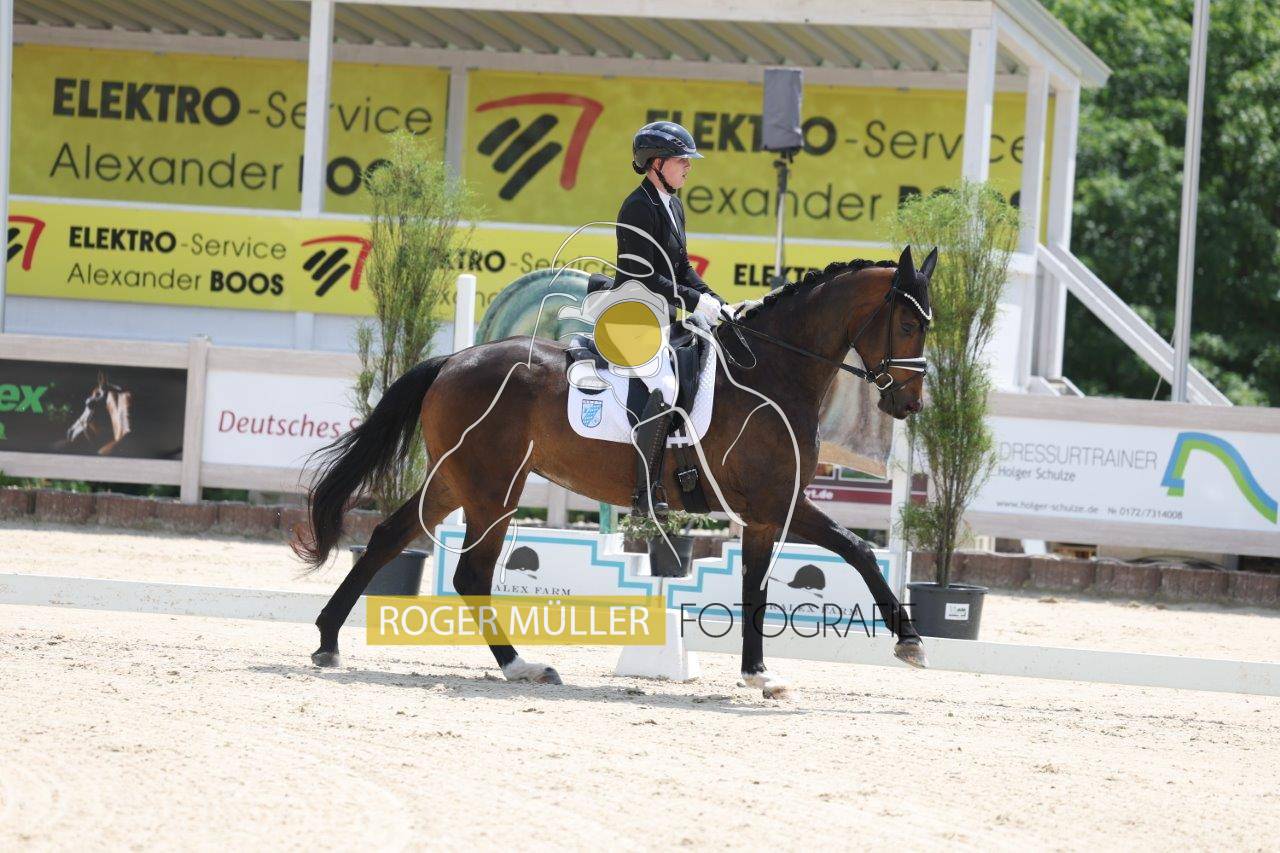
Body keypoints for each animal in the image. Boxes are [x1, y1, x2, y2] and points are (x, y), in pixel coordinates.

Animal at [295, 245, 937, 698]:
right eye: (909, 326)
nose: (910, 404)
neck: (773, 372)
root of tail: (454, 359)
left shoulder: (763, 514)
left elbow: (770, 582)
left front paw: (763, 674)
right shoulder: (774, 504)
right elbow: (848, 552)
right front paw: (907, 643)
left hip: (457, 481)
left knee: (388, 538)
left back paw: (328, 641)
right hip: (493, 489)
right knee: (470, 573)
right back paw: (522, 666)